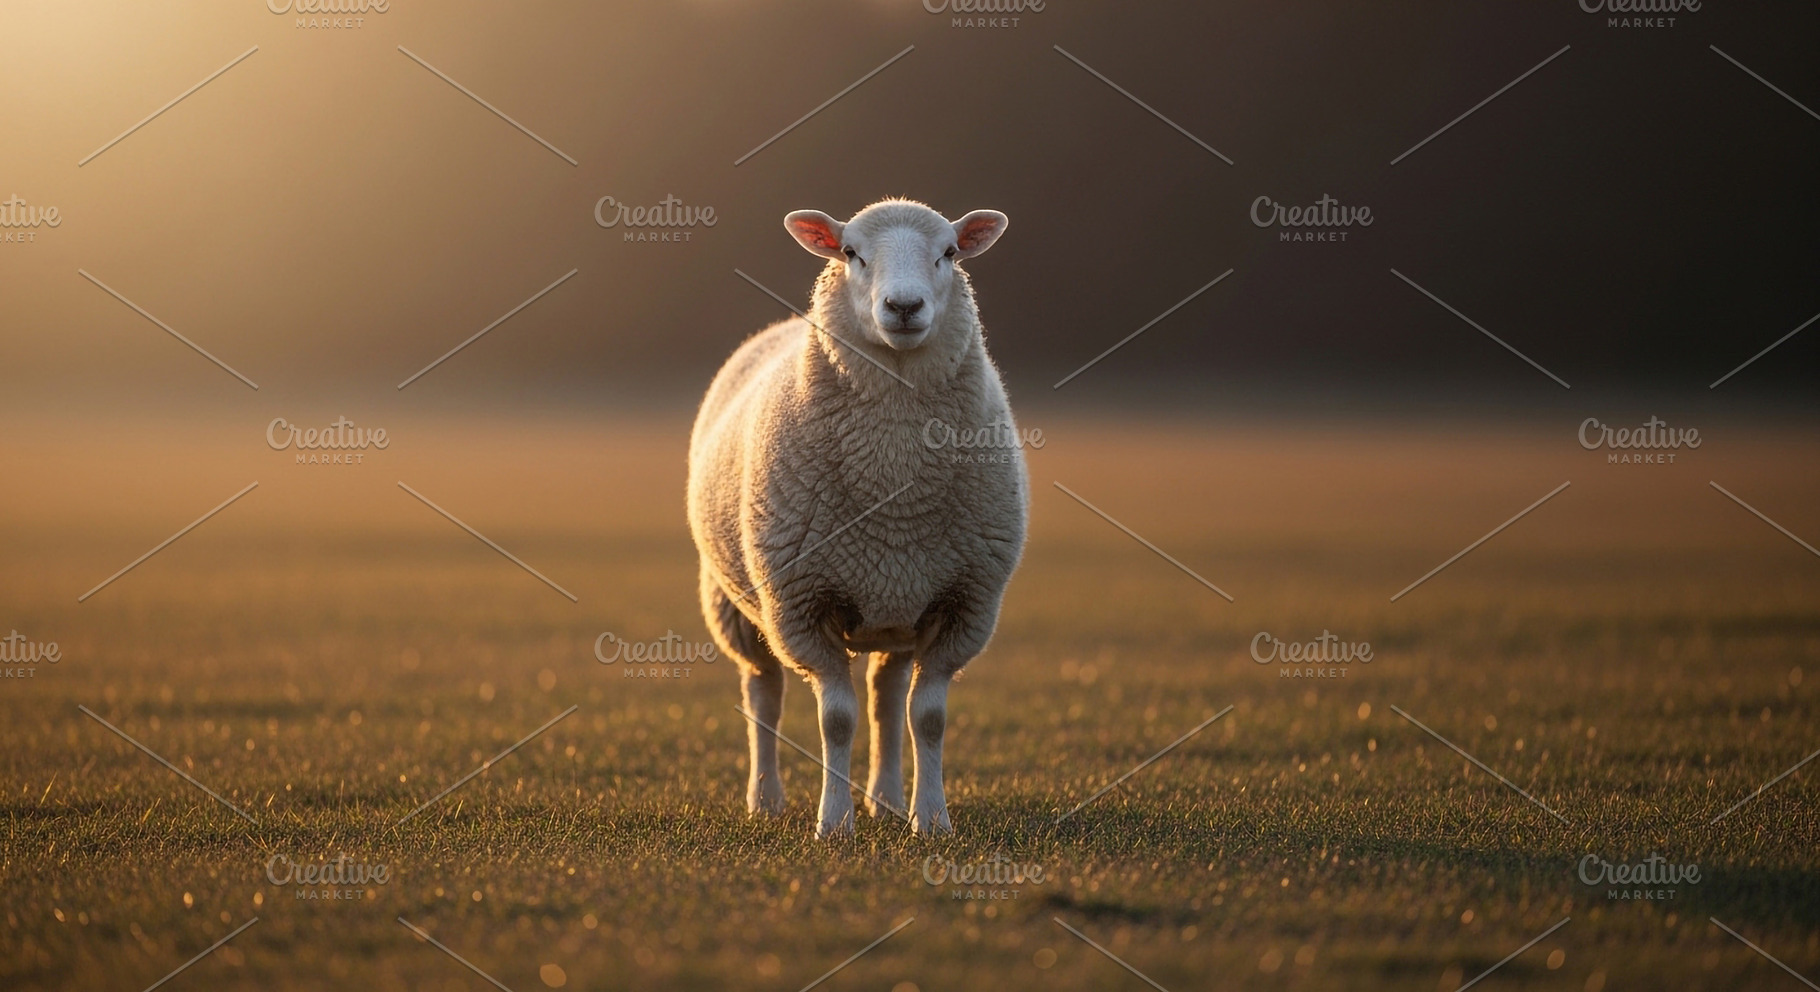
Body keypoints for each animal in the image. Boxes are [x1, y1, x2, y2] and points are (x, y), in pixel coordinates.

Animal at [687, 199, 1028, 837]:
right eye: (850, 253)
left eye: (950, 253)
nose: (904, 307)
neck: (893, 489)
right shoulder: (801, 606)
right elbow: (836, 720)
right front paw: (834, 823)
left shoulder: (962, 604)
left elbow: (927, 717)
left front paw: (932, 819)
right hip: (739, 605)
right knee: (764, 694)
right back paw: (765, 799)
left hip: (899, 609)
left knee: (887, 699)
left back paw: (887, 799)